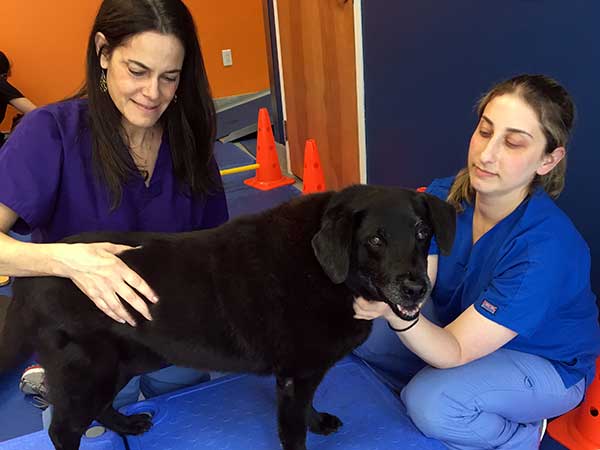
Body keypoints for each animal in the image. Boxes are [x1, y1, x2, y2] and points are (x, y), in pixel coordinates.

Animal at [0, 184, 454, 450]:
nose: (417, 288)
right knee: (62, 430)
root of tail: (28, 282)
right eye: (375, 239)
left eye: (421, 232)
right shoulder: (296, 376)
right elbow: (292, 431)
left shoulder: (301, 375)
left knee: (100, 409)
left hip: (125, 361)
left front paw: (318, 421)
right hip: (87, 372)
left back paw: (128, 426)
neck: (323, 268)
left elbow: (307, 408)